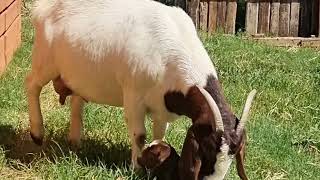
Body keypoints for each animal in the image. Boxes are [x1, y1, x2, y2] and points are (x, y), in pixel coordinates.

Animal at [27, 0, 256, 176]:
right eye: (206, 150)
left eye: (234, 155)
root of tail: (41, 7)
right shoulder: (133, 97)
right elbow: (139, 135)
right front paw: (136, 168)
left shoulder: (162, 106)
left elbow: (159, 135)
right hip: (45, 60)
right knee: (31, 84)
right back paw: (37, 133)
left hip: (78, 74)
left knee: (76, 100)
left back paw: (75, 142)